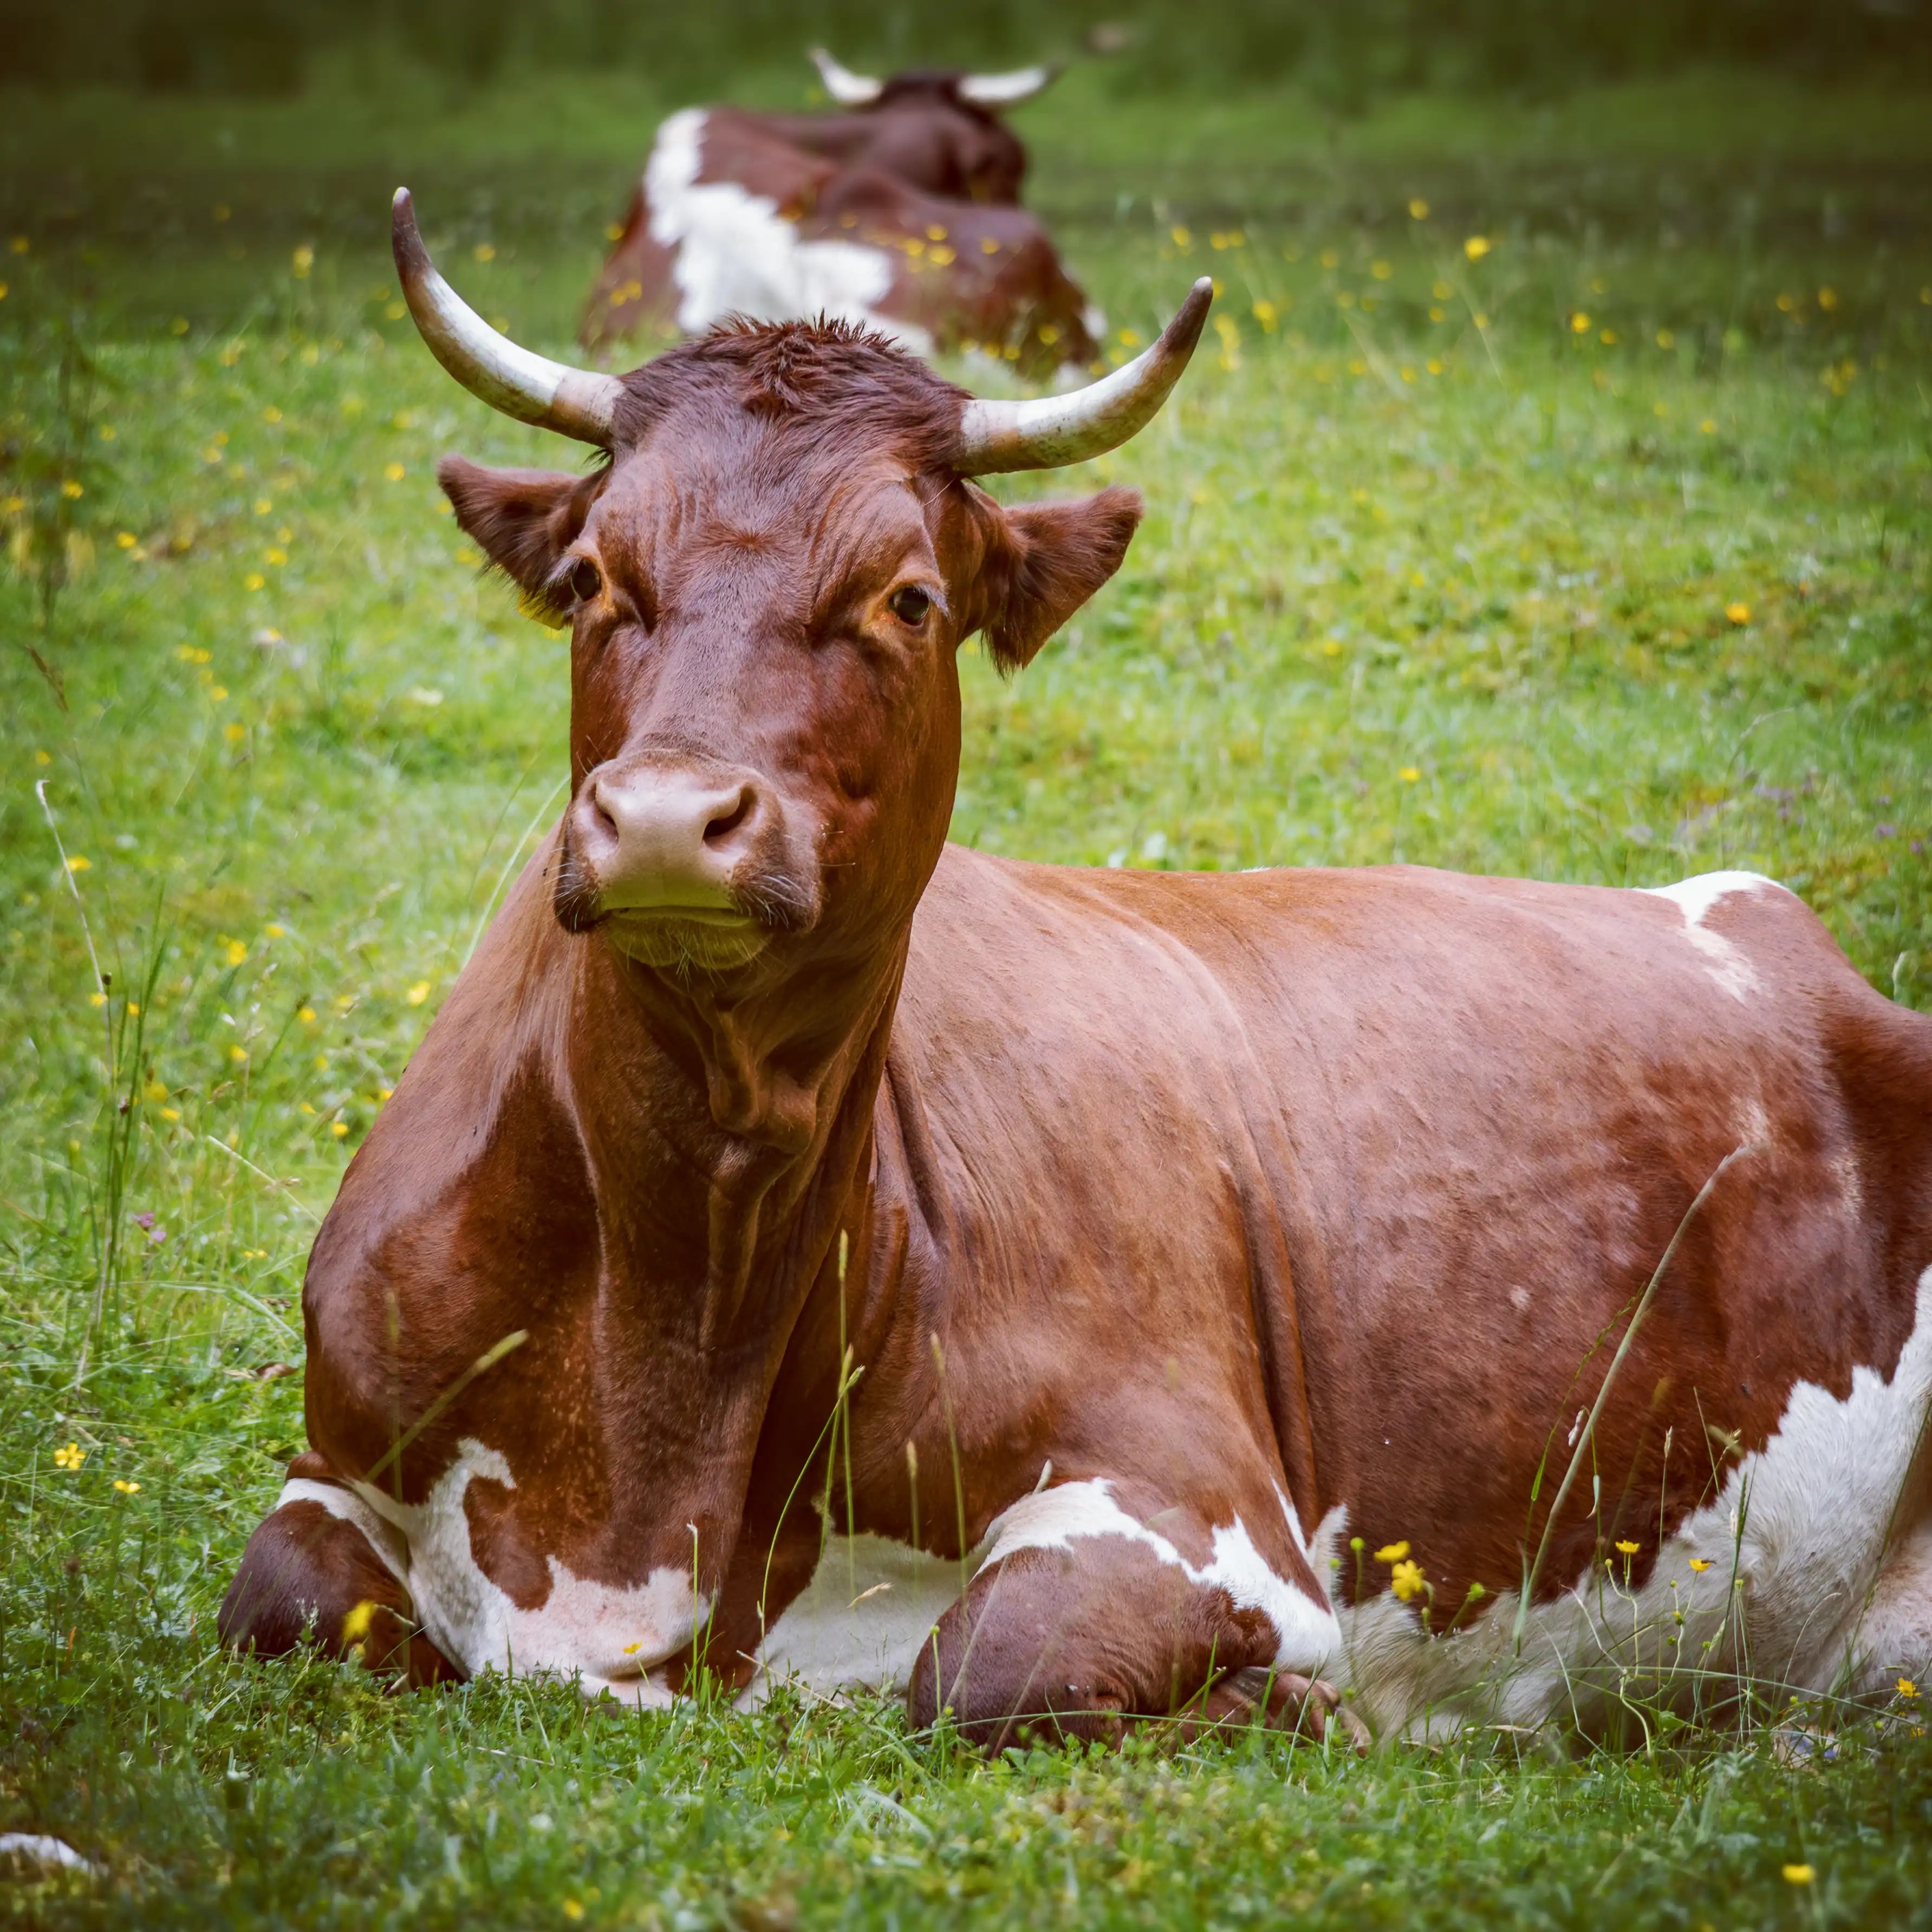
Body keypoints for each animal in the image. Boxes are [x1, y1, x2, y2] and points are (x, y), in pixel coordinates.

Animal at [220, 187, 1932, 1755]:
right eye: (588, 577)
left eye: (906, 596)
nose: (660, 822)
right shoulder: (337, 1462)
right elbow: (279, 1599)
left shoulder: (1194, 1498)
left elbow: (984, 1668)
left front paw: (1304, 1705)